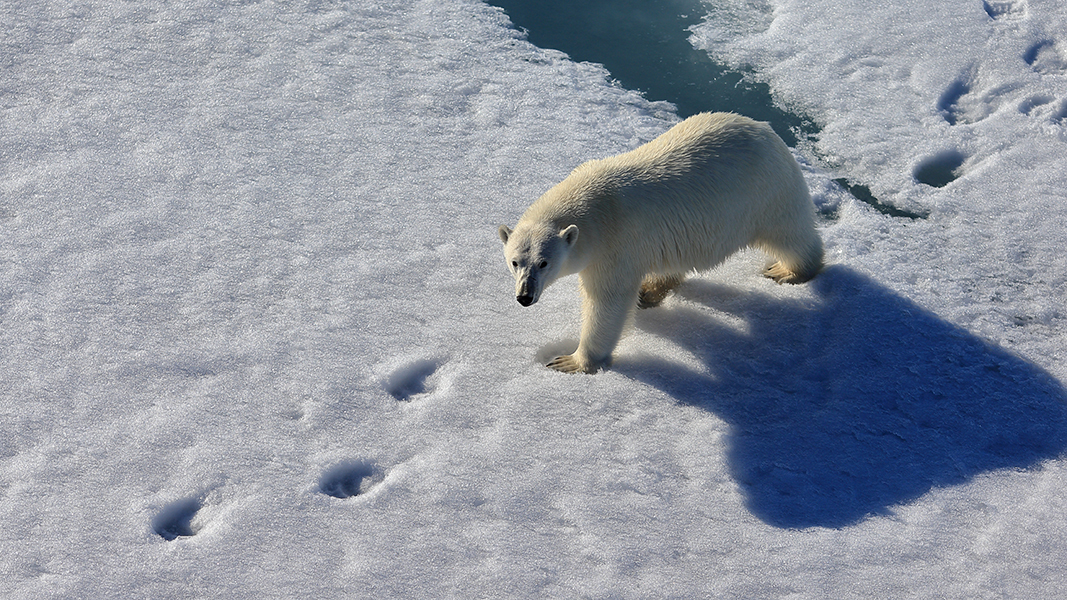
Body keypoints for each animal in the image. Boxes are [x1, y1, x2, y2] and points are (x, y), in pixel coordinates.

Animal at [499, 111, 823, 371]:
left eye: (544, 263)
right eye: (515, 262)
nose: (524, 296)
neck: (593, 202)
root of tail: (766, 129)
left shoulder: (614, 246)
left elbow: (607, 302)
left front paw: (571, 361)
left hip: (767, 193)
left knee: (790, 234)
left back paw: (788, 270)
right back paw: (650, 291)